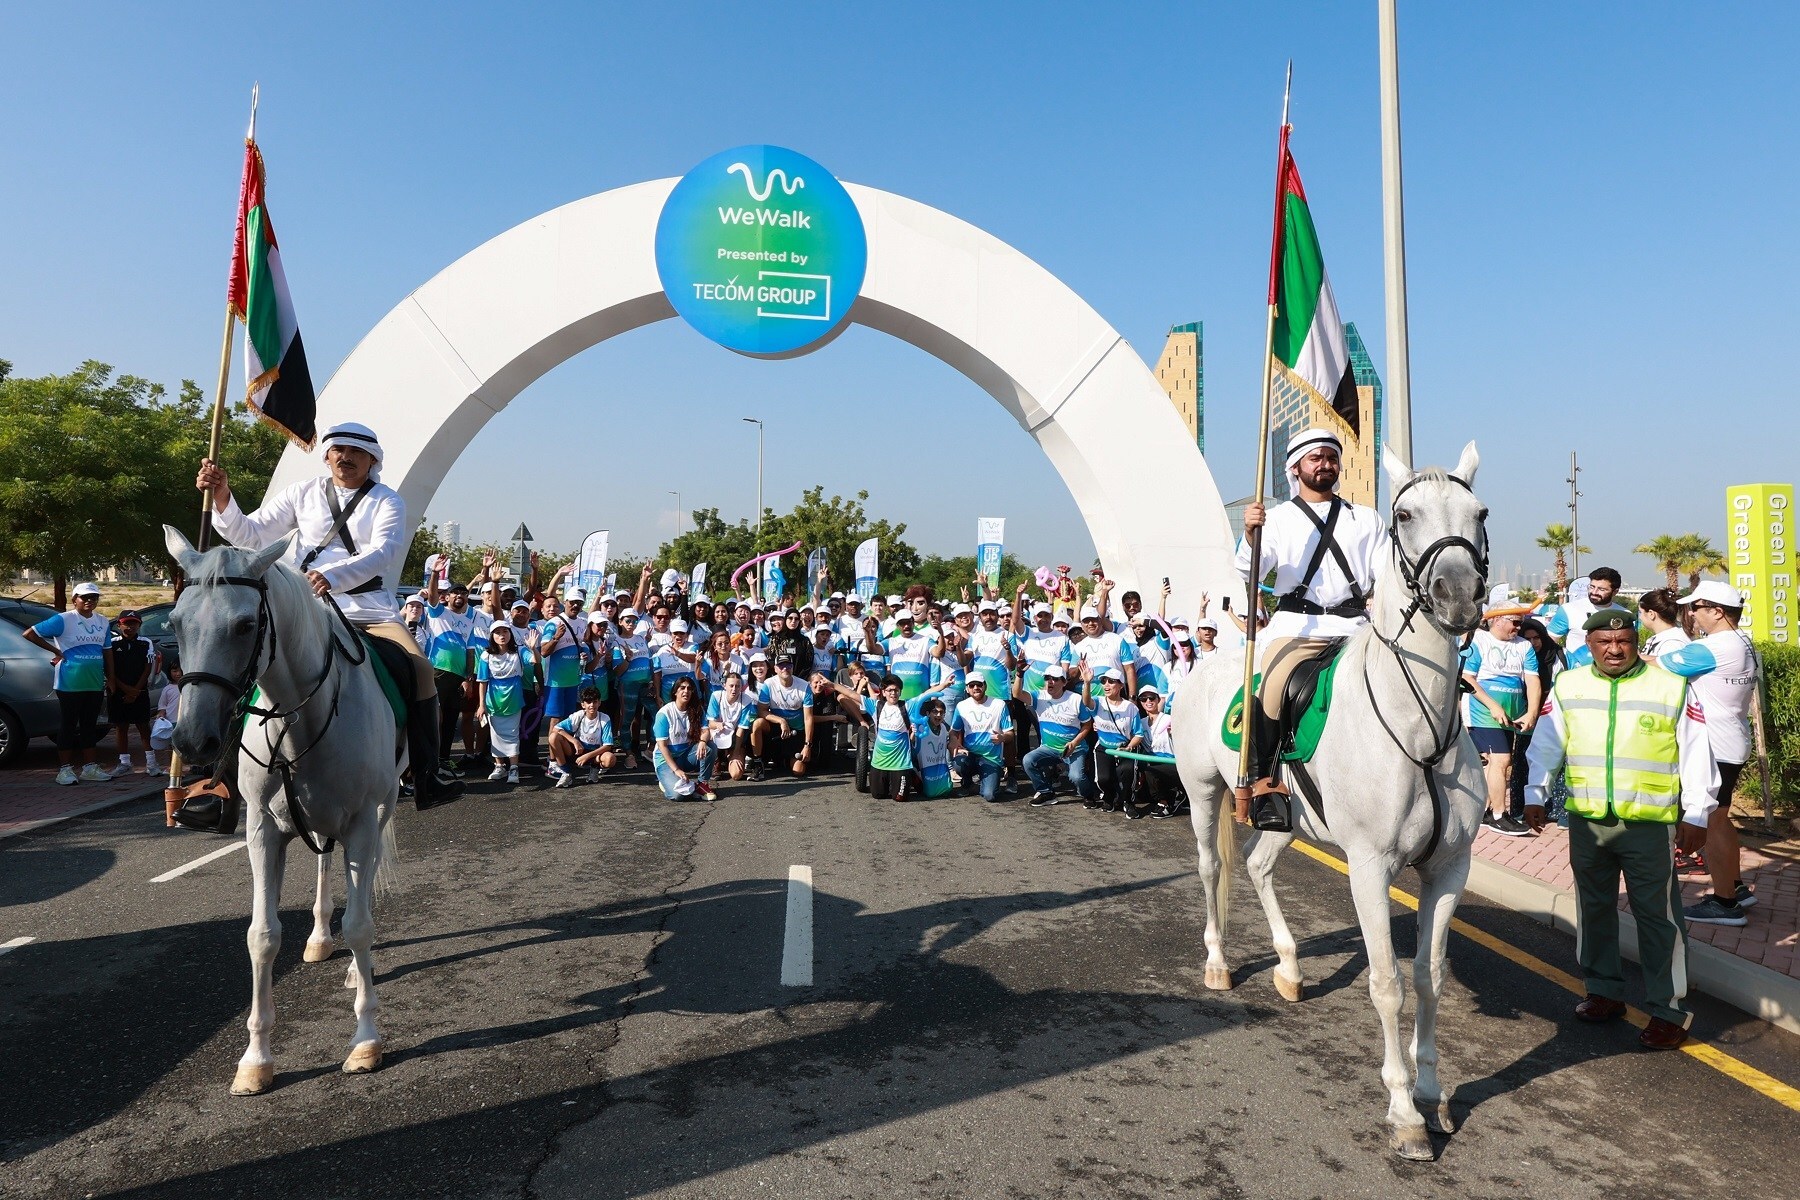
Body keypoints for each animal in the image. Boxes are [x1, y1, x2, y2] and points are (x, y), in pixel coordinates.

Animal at [162, 525, 401, 1101]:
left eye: (246, 625)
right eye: (175, 623)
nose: (192, 740)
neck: (301, 718)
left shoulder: (363, 822)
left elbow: (360, 926)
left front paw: (366, 1040)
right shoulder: (263, 831)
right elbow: (262, 936)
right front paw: (255, 1060)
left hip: (380, 814)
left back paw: (356, 972)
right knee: (323, 863)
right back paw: (318, 939)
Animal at [1166, 446, 1490, 1158]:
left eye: (1479, 513)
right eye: (1405, 514)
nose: (1458, 596)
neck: (1420, 725)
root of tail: (1204, 661)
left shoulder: (1449, 868)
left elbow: (1428, 975)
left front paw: (1432, 1092)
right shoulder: (1370, 866)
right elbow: (1387, 983)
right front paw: (1403, 1110)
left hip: (1285, 818)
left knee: (1257, 866)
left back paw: (1288, 967)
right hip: (1203, 793)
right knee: (1212, 868)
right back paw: (1218, 961)